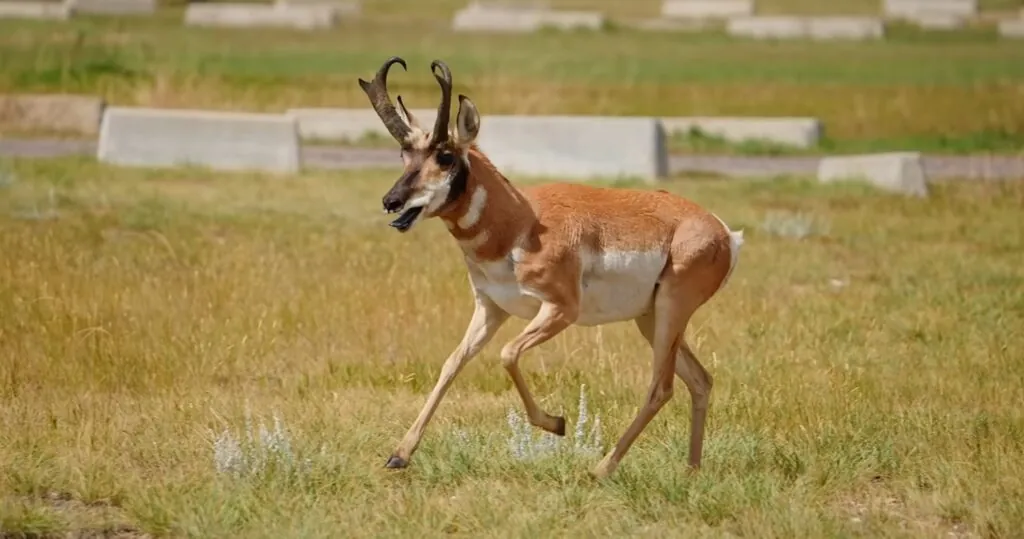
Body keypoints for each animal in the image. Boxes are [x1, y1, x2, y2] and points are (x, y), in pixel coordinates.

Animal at [360, 57, 745, 479]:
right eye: (404, 155)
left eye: (444, 156)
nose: (391, 201)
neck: (522, 221)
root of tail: (722, 230)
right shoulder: (491, 309)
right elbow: (452, 364)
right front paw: (399, 454)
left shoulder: (560, 310)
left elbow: (508, 353)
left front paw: (557, 423)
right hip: (651, 318)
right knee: (699, 380)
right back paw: (691, 470)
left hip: (671, 310)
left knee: (662, 386)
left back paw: (601, 469)